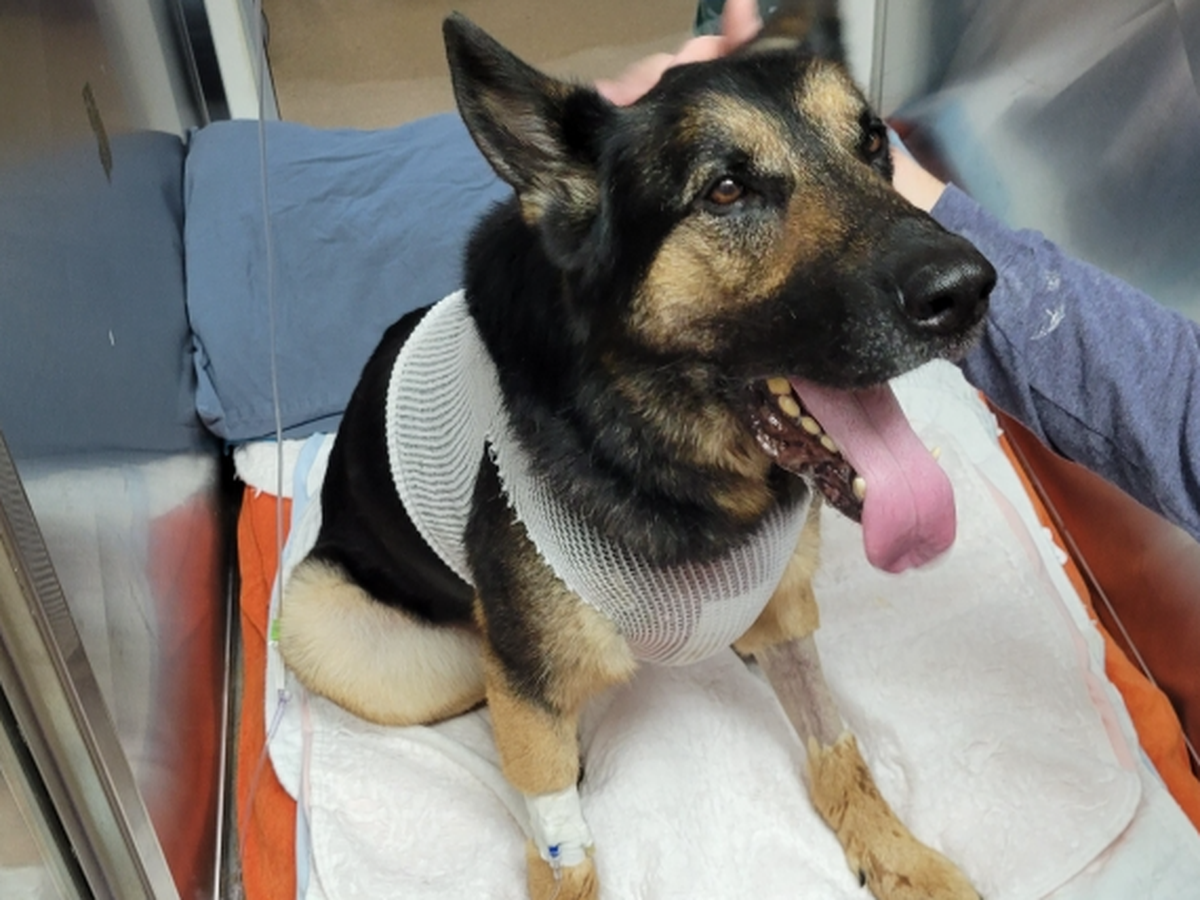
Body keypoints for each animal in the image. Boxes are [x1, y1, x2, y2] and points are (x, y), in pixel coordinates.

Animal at [280, 2, 995, 898]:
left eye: (873, 144)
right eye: (726, 189)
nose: (969, 290)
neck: (670, 458)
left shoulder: (789, 613)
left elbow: (837, 748)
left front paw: (897, 855)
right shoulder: (527, 683)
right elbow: (562, 849)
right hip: (325, 624)